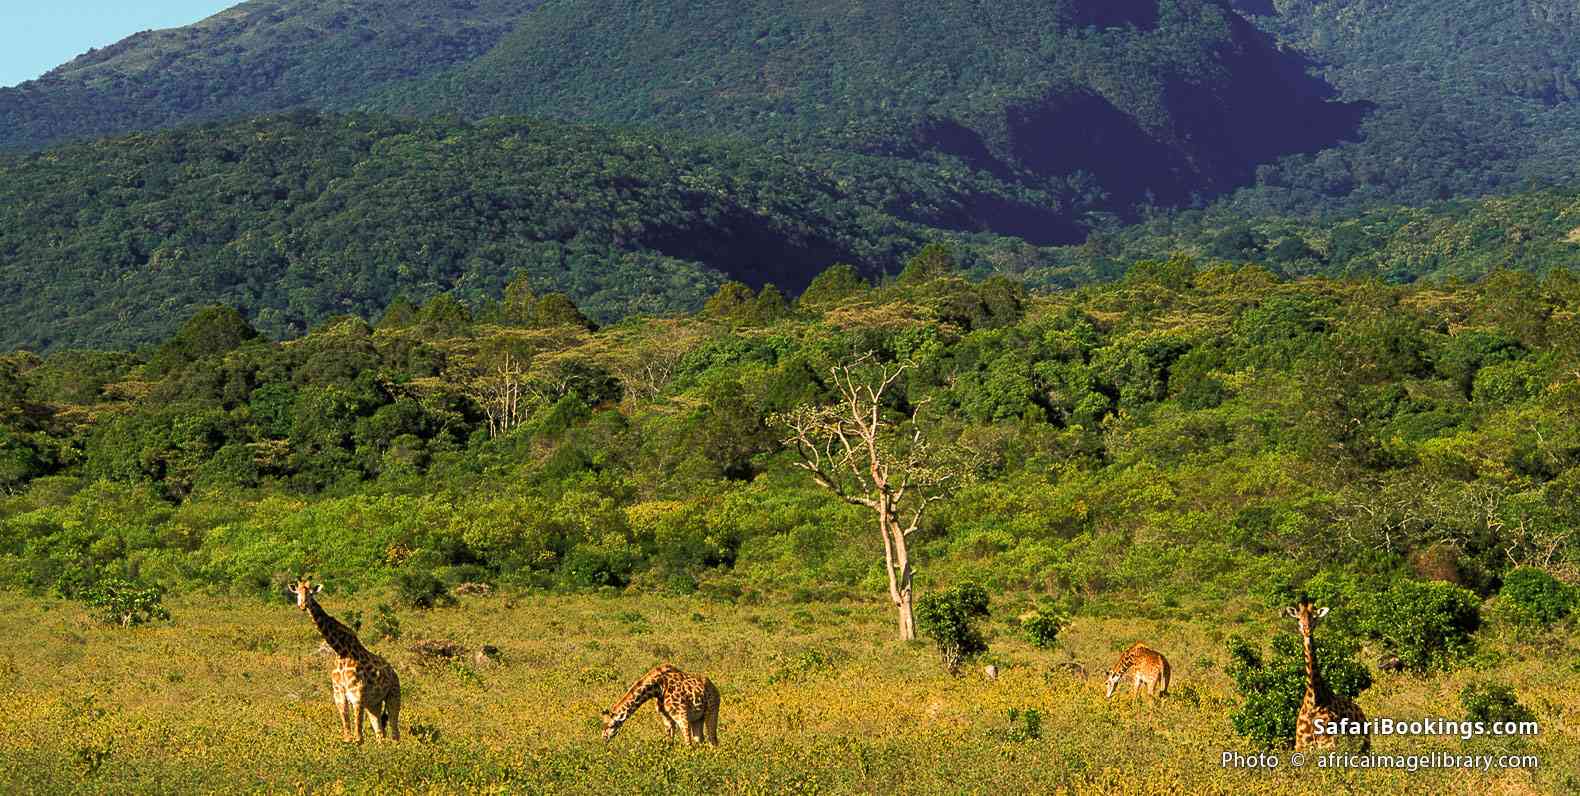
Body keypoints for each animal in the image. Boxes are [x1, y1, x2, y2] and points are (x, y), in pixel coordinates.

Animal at [289, 578, 401, 744]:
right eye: (297, 593)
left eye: (311, 593)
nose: (302, 605)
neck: (341, 652)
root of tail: (393, 672)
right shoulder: (339, 695)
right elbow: (348, 736)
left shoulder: (357, 695)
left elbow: (358, 737)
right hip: (373, 703)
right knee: (380, 734)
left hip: (394, 695)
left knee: (395, 732)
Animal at [1287, 600, 1369, 752]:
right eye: (1298, 619)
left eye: (1315, 618)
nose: (1307, 631)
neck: (1314, 701)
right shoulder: (1302, 747)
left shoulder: (1330, 745)